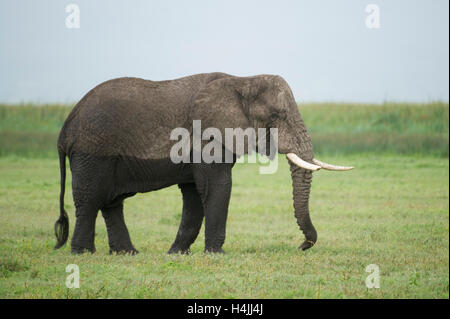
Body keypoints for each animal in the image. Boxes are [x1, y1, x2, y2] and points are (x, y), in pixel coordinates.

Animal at [54, 72, 354, 255]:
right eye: (275, 116)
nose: (303, 245)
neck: (242, 81)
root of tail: (66, 127)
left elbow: (194, 195)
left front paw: (176, 254)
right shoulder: (205, 135)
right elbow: (217, 186)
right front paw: (216, 253)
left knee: (111, 202)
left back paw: (128, 254)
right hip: (92, 151)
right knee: (90, 199)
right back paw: (83, 253)